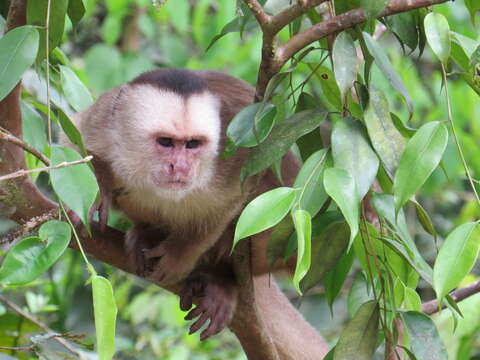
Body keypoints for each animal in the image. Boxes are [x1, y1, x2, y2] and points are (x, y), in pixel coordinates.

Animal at [63, 69, 302, 342]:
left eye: (192, 144)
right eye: (166, 142)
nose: (181, 166)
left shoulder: (232, 150)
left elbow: (235, 197)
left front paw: (179, 253)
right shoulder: (103, 124)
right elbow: (71, 138)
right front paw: (96, 187)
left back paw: (222, 277)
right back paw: (148, 233)